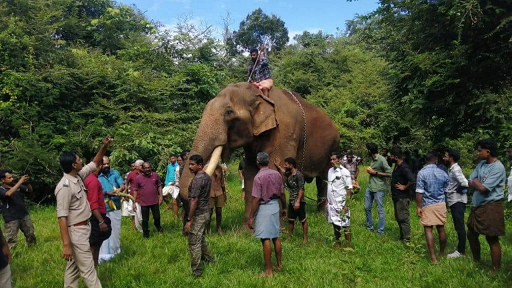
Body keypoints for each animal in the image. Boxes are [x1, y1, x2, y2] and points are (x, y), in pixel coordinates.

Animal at [180, 82, 340, 225]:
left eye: (229, 113)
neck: (260, 95)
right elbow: (250, 173)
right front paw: (248, 229)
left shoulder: (285, 131)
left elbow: (275, 170)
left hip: (332, 147)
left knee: (323, 179)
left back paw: (322, 215)